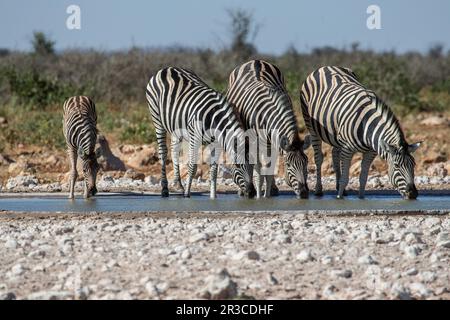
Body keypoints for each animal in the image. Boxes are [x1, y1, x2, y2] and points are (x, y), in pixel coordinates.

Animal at [145, 66, 255, 199]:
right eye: (238, 165)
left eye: (253, 165)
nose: (252, 193)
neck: (214, 119)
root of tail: (167, 68)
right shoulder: (195, 138)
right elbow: (192, 166)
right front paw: (187, 194)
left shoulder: (216, 143)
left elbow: (213, 171)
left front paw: (213, 197)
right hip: (157, 119)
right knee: (163, 152)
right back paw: (165, 190)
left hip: (176, 128)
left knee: (174, 151)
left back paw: (178, 185)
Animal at [227, 59, 312, 198]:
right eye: (288, 165)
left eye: (306, 162)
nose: (304, 193)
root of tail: (255, 61)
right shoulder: (255, 143)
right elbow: (259, 172)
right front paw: (259, 196)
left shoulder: (275, 143)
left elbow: (269, 171)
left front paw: (267, 194)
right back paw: (243, 190)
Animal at [298, 66, 422, 199]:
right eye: (397, 166)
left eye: (413, 165)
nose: (413, 194)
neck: (368, 127)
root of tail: (324, 67)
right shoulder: (347, 149)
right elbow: (345, 178)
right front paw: (339, 198)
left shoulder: (370, 152)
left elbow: (363, 177)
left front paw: (361, 198)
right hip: (312, 128)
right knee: (318, 158)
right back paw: (318, 190)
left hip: (336, 135)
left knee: (334, 154)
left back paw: (339, 188)